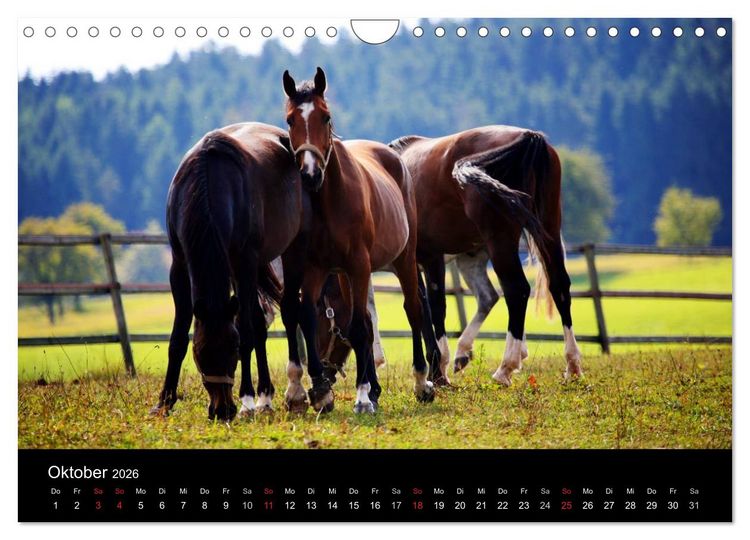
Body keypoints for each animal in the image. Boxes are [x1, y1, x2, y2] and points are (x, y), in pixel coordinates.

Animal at [151, 122, 306, 421]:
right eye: (199, 353)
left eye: (232, 349)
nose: (222, 410)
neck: (209, 183)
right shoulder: (180, 265)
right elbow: (178, 337)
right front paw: (164, 402)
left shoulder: (244, 261)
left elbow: (246, 332)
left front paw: (246, 400)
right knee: (260, 322)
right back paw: (265, 396)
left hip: (287, 252)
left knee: (291, 311)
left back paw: (292, 393)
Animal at [280, 67, 440, 414]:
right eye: (290, 120)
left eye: (325, 117)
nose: (310, 174)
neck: (331, 200)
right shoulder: (319, 268)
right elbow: (312, 316)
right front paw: (322, 392)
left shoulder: (359, 265)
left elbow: (357, 326)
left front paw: (364, 396)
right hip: (345, 275)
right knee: (367, 319)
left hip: (403, 258)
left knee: (413, 309)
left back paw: (422, 382)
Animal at [387, 127, 583, 385]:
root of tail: (529, 136)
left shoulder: (428, 259)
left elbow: (431, 308)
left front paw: (438, 371)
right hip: (548, 230)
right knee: (558, 287)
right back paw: (572, 365)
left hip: (501, 243)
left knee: (516, 290)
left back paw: (504, 368)